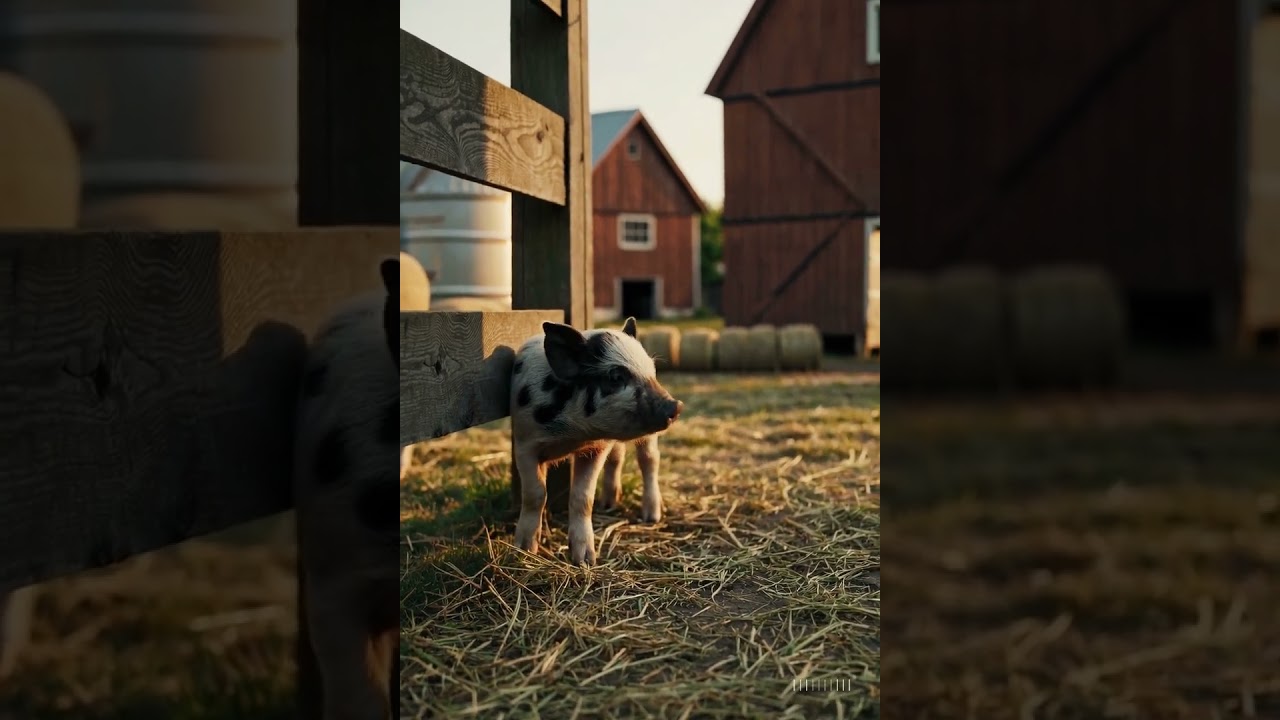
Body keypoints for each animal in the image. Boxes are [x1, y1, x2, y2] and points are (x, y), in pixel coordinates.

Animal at [509, 317, 683, 566]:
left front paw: (585, 561)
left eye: (652, 369)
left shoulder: (595, 448)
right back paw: (609, 503)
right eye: (616, 377)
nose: (676, 406)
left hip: (649, 437)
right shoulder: (524, 442)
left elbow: (583, 497)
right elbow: (536, 493)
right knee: (618, 457)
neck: (570, 436)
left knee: (649, 460)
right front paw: (523, 551)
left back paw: (651, 516)